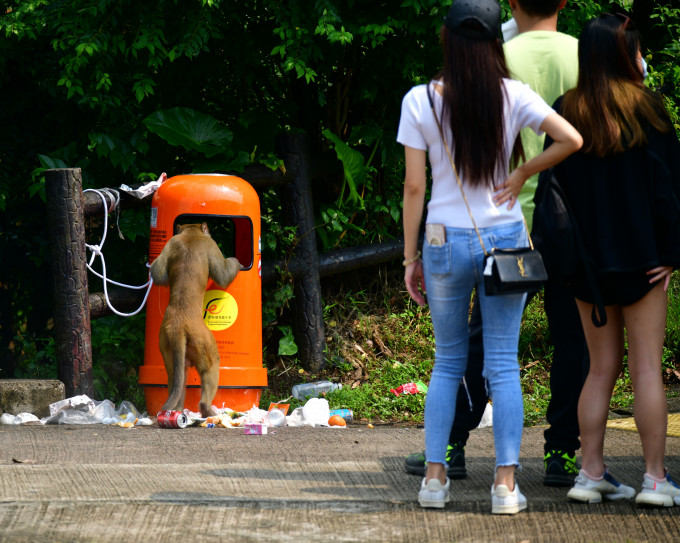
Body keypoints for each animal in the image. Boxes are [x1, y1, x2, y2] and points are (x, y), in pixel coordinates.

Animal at [150, 223, 243, 418]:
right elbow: (222, 276)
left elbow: (158, 273)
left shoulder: (171, 242)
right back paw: (208, 410)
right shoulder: (210, 245)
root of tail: (178, 326)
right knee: (211, 368)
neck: (191, 234)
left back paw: (176, 411)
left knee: (176, 379)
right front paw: (236, 262)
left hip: (167, 345)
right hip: (203, 343)